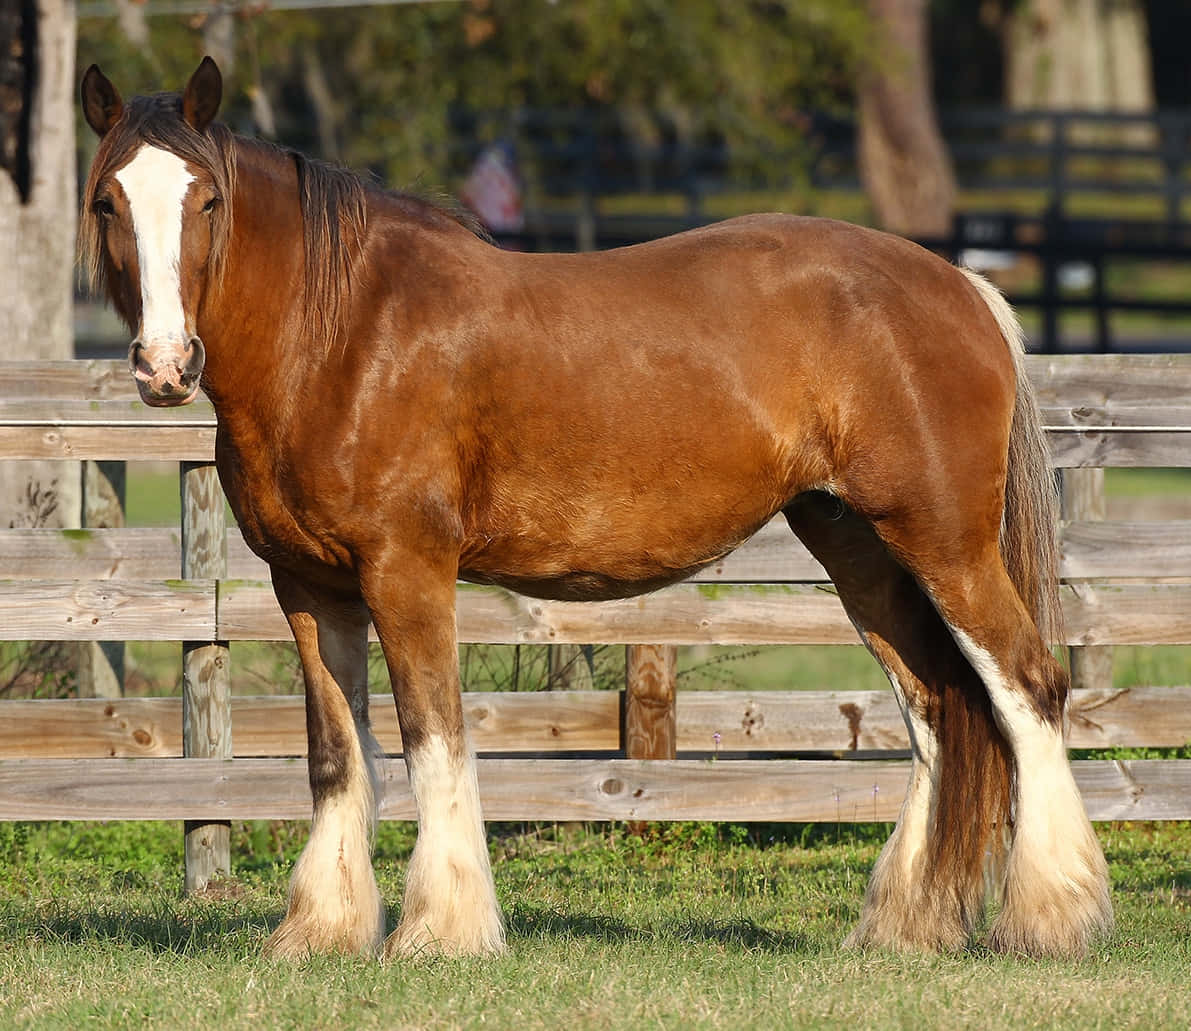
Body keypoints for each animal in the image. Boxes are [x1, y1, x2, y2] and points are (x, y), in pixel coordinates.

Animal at [79, 58, 1111, 961]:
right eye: (108, 201)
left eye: (207, 200)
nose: (165, 367)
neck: (341, 334)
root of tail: (960, 287)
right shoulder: (308, 586)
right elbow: (338, 753)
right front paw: (322, 932)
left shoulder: (407, 572)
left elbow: (433, 738)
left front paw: (441, 933)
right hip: (860, 551)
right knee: (937, 708)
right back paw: (903, 927)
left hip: (944, 544)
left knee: (1027, 686)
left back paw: (1052, 918)